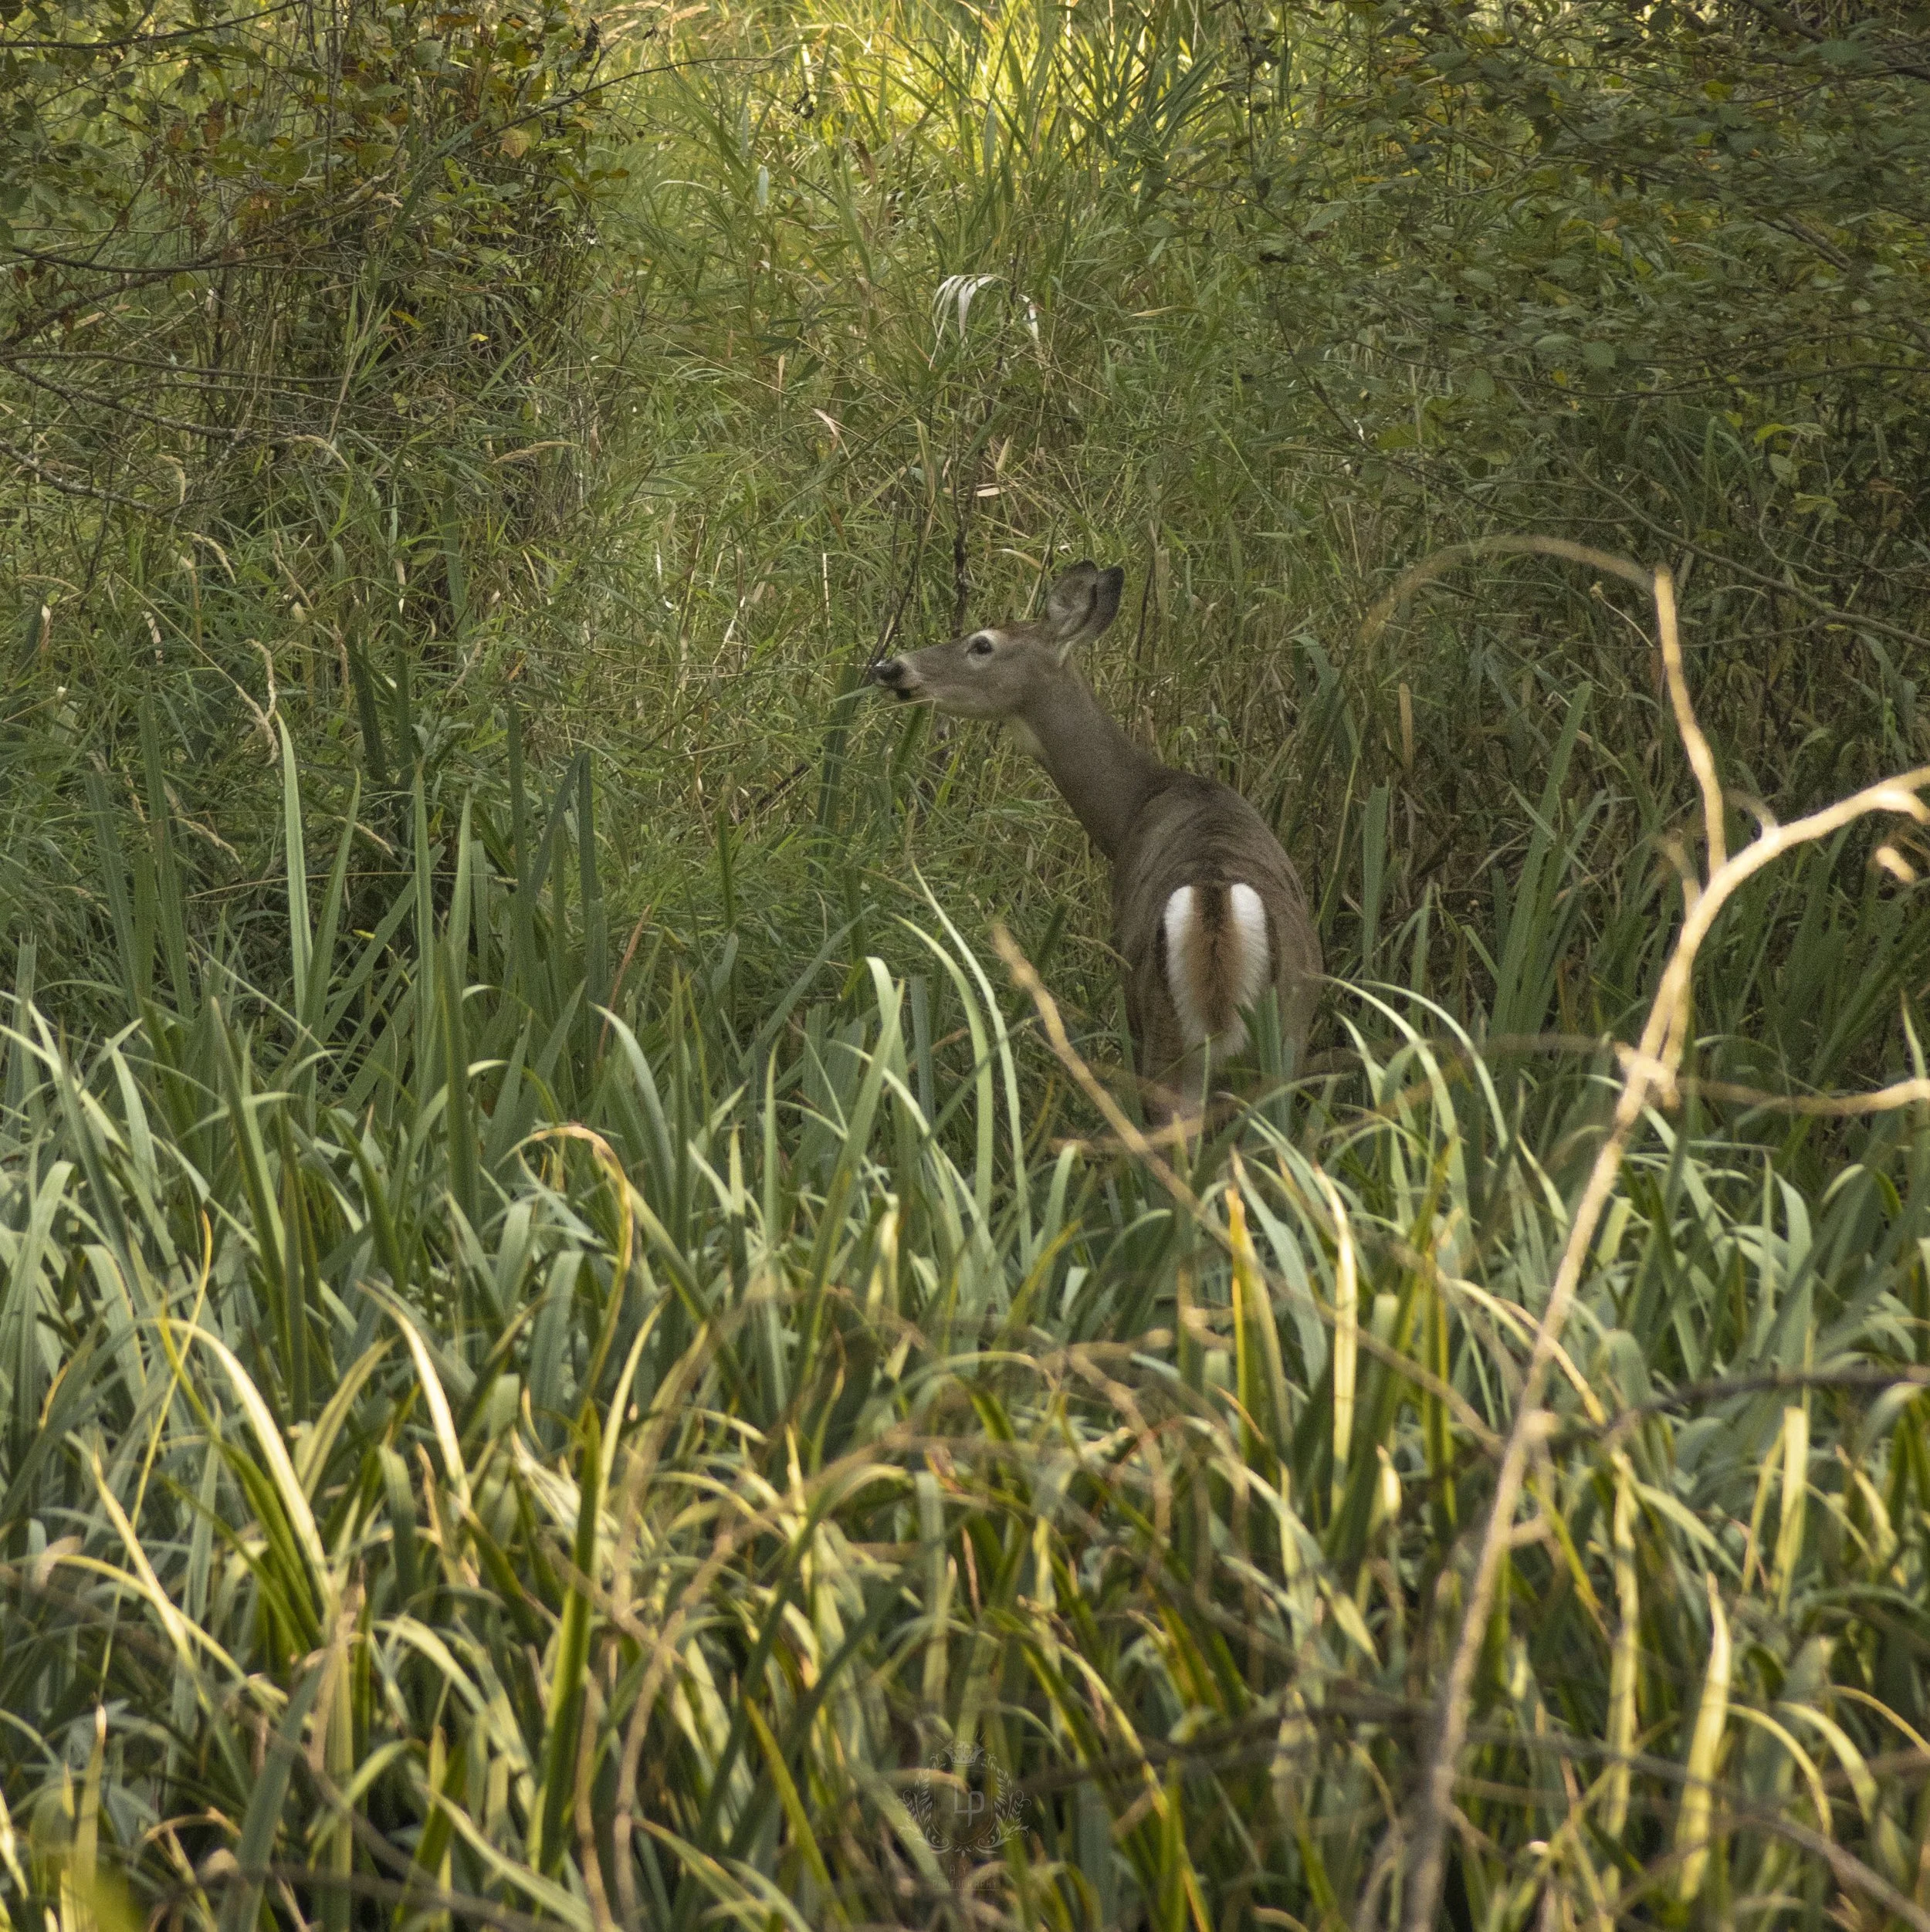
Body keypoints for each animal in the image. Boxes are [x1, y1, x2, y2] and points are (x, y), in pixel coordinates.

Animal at [869, 559, 1321, 1120]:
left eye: (982, 643)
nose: (891, 666)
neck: (1137, 806)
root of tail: (1216, 909)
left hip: (1168, 1034)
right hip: (1277, 1050)